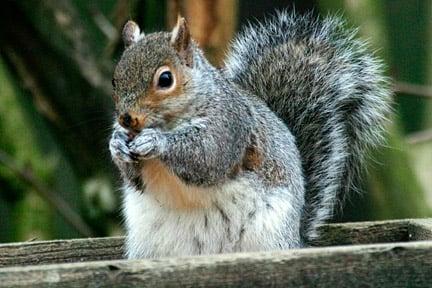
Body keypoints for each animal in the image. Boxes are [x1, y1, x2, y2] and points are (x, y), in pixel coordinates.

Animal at [109, 11, 392, 258]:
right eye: (115, 79)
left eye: (165, 79)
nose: (126, 119)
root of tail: (295, 240)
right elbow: (135, 178)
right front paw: (117, 144)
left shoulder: (230, 126)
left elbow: (207, 157)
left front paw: (156, 141)